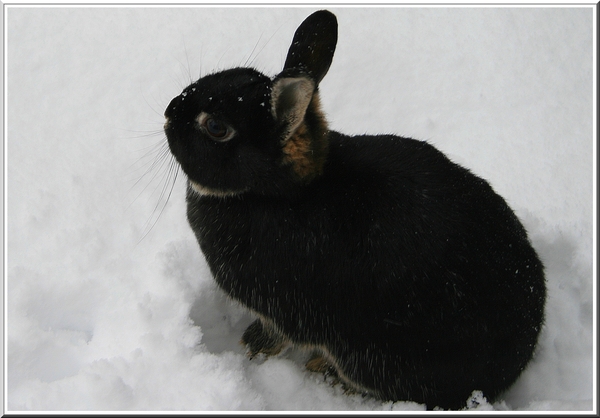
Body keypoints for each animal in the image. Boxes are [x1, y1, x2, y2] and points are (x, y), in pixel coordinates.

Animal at [163, 10, 544, 412]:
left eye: (216, 127)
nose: (169, 110)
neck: (278, 194)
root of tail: (512, 366)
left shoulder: (286, 310)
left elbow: (278, 334)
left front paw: (252, 346)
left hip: (375, 357)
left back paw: (325, 372)